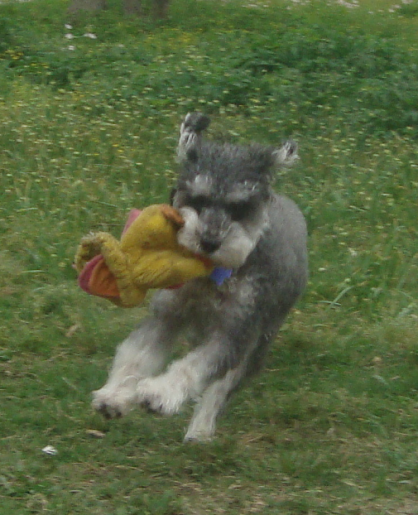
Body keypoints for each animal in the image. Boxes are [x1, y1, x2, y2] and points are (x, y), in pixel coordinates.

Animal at [92, 114, 306, 444]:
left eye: (239, 207)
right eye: (198, 199)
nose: (209, 242)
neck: (209, 277)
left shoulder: (233, 333)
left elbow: (196, 367)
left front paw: (160, 393)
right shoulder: (167, 316)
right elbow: (137, 355)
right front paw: (114, 395)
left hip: (260, 340)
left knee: (222, 388)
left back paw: (201, 429)